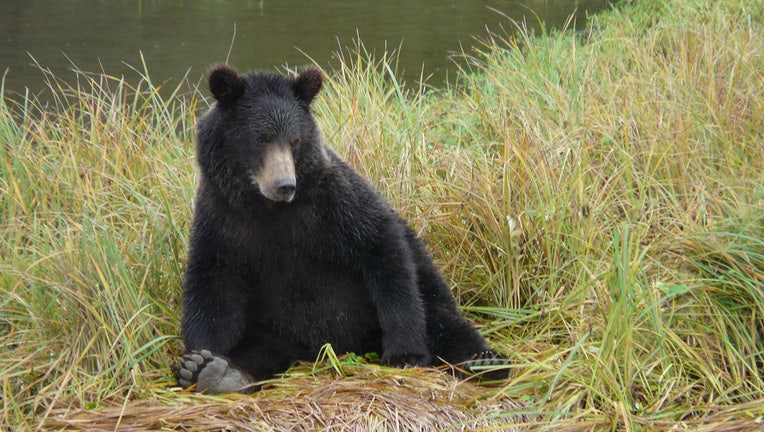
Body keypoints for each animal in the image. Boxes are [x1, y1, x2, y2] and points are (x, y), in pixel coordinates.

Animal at [177, 66, 510, 394]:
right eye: (261, 137)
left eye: (294, 140)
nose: (285, 185)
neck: (265, 208)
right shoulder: (223, 221)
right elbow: (212, 287)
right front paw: (199, 360)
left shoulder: (331, 205)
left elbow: (382, 247)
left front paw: (405, 353)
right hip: (274, 330)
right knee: (259, 348)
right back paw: (223, 374)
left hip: (427, 292)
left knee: (445, 322)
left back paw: (485, 361)